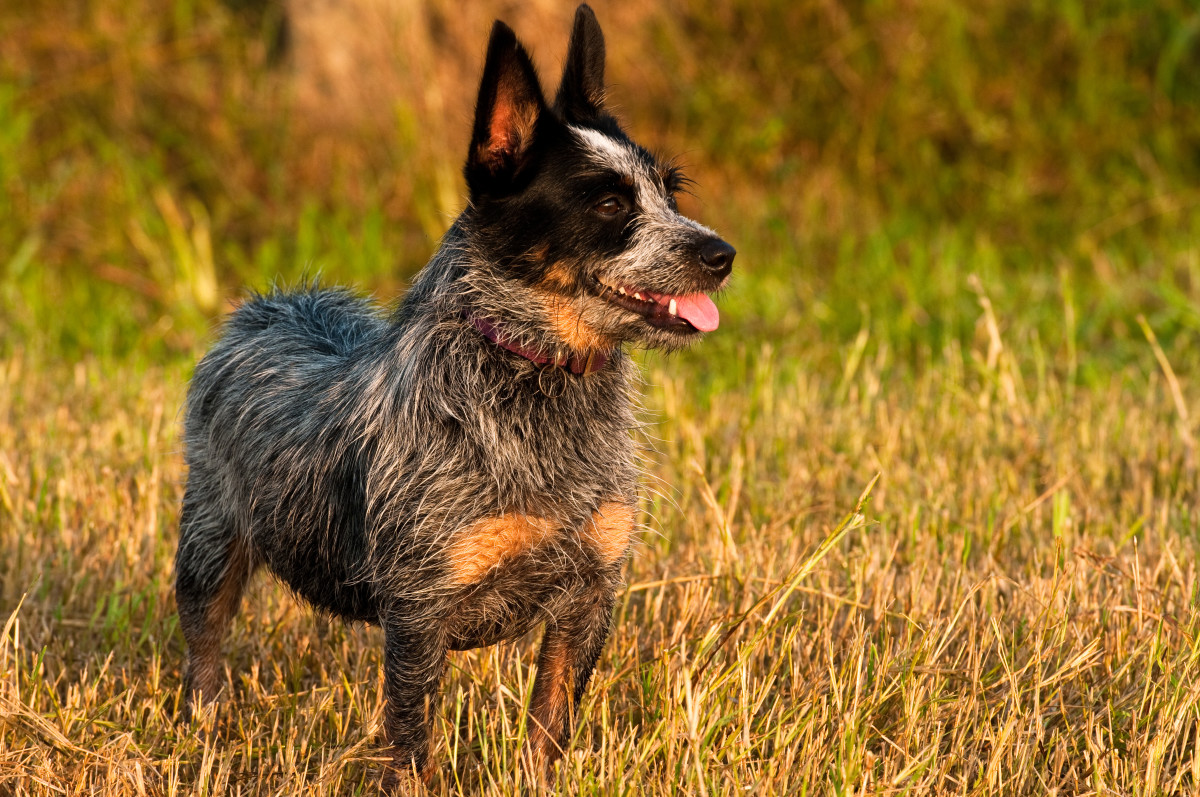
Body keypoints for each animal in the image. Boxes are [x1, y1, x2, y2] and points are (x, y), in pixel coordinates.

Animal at [170, 3, 729, 787]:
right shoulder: (419, 610)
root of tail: (270, 305)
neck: (535, 374)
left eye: (669, 192)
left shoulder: (590, 594)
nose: (722, 254)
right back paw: (205, 734)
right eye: (609, 202)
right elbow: (410, 740)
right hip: (209, 545)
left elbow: (549, 727)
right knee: (204, 653)